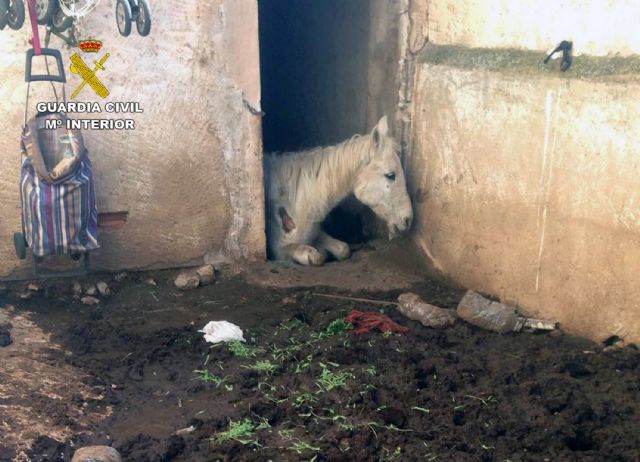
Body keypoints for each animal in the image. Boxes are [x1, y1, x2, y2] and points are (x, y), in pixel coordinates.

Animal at [264, 116, 413, 266]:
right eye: (391, 175)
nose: (408, 219)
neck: (295, 201)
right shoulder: (280, 251)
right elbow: (315, 257)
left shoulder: (318, 234)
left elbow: (343, 249)